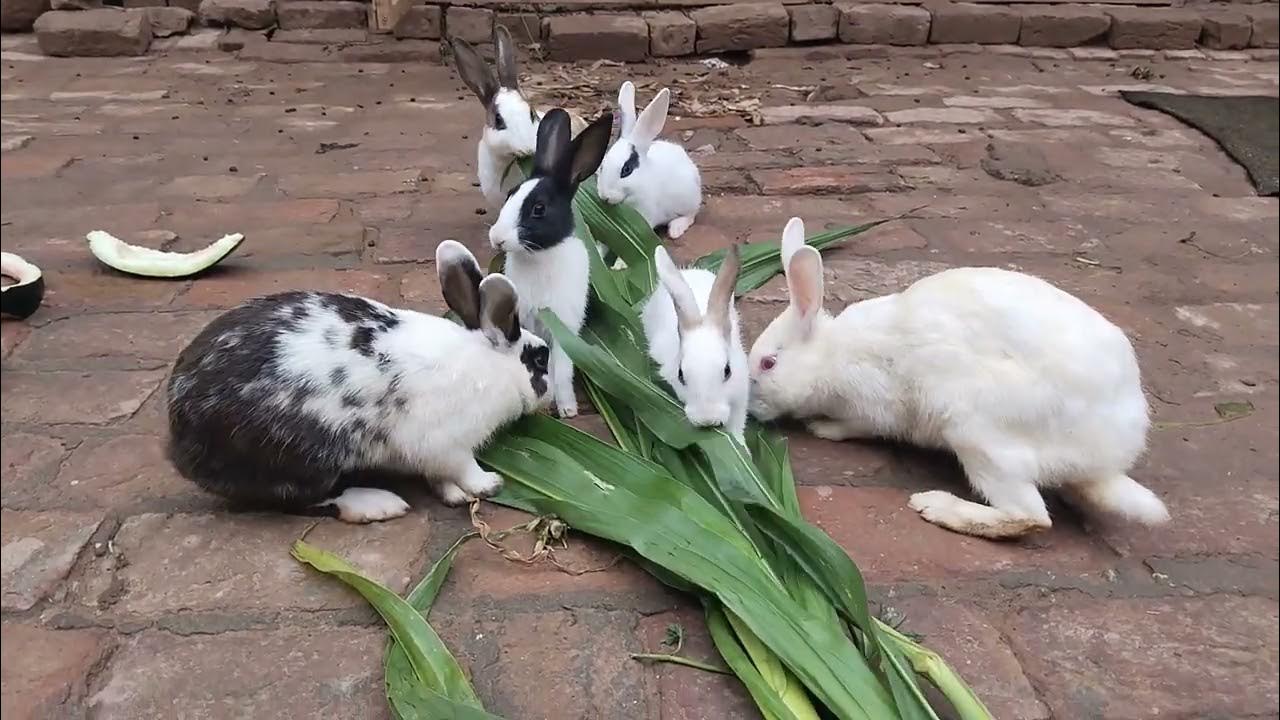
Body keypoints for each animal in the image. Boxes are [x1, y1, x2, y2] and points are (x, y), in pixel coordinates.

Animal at [165, 240, 552, 523]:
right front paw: (488, 484)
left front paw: (452, 494)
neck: (489, 365)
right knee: (306, 500)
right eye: (540, 359)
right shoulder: (449, 442)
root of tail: (180, 436)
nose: (550, 399)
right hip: (300, 459)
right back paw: (377, 504)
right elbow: (465, 467)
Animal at [488, 108, 613, 419]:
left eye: (539, 209)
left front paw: (567, 409)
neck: (538, 256)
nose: (497, 239)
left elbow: (563, 370)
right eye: (509, 195)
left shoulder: (564, 325)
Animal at [596, 81, 702, 240]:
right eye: (602, 166)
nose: (605, 197)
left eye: (626, 170)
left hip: (688, 199)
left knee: (692, 214)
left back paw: (676, 229)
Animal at [747, 217, 1170, 540]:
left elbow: (858, 426)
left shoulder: (873, 406)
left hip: (978, 433)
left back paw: (934, 506)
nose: (750, 410)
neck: (831, 354)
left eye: (768, 364)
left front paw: (822, 428)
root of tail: (1107, 458)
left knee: (1030, 517)